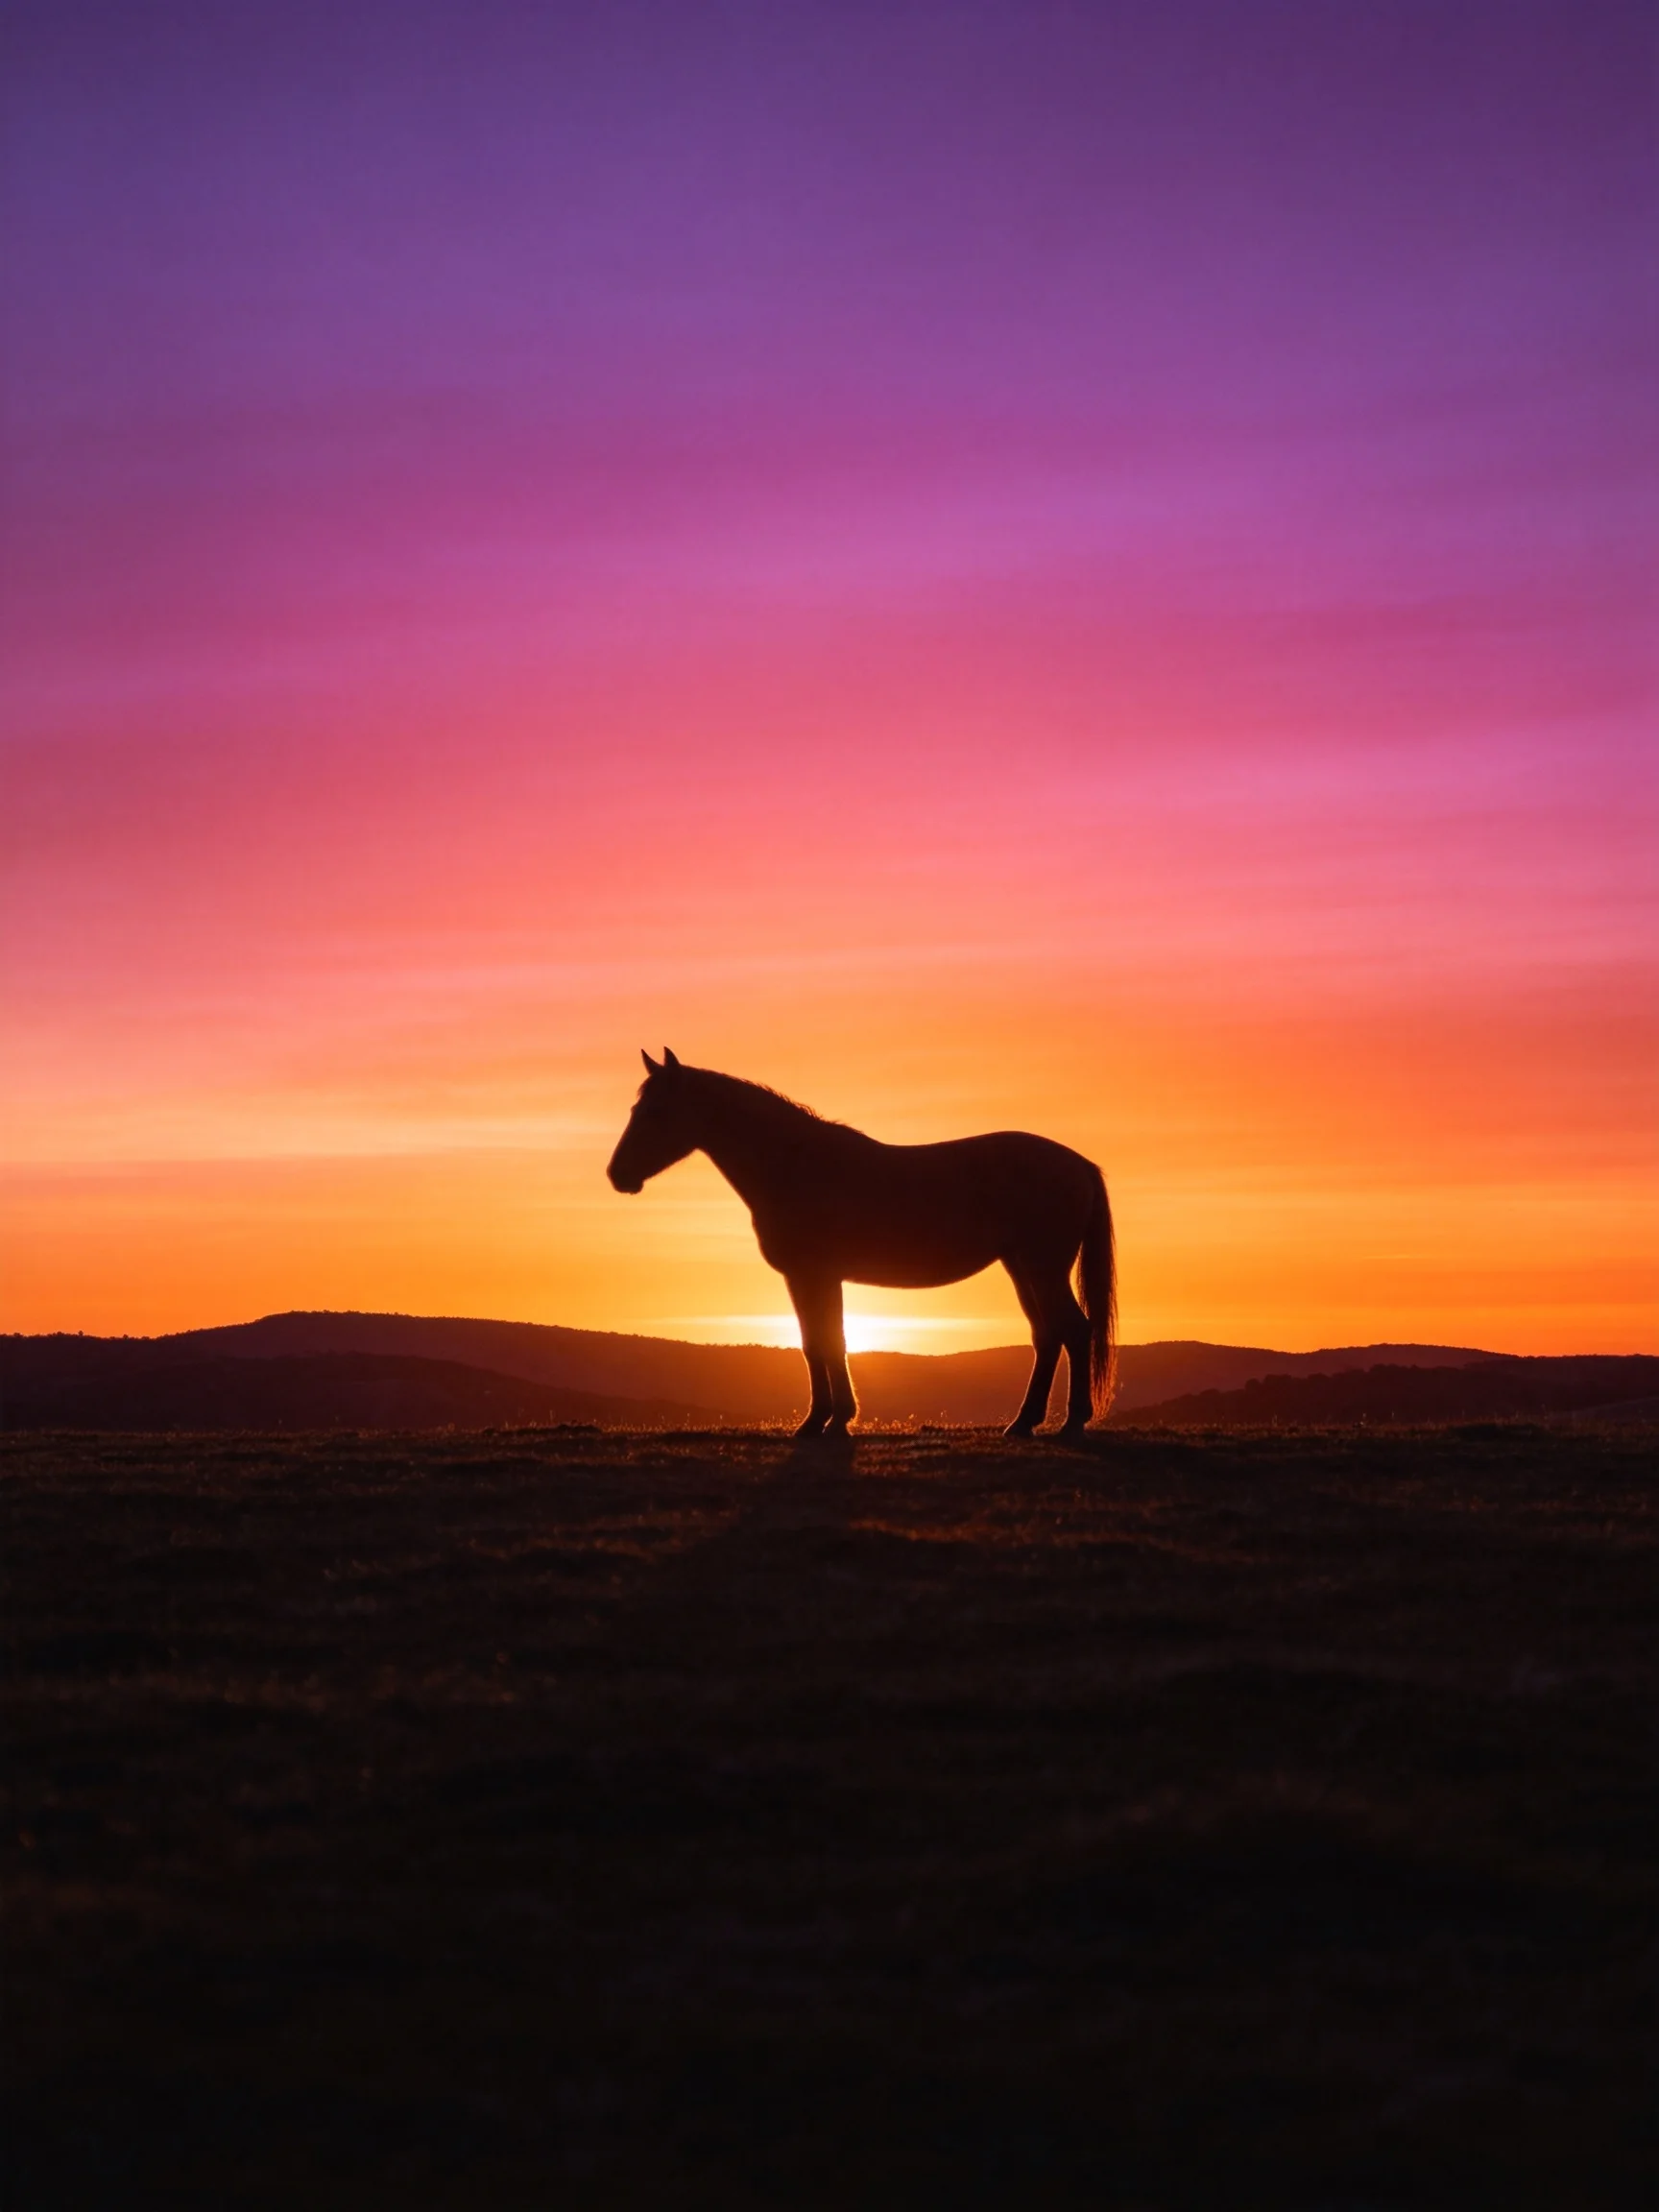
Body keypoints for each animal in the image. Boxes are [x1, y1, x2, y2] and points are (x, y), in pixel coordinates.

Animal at [607, 1050, 1116, 1439]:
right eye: (635, 1110)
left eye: (655, 1112)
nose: (618, 1175)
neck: (795, 1165)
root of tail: (1079, 1164)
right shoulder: (810, 1279)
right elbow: (819, 1342)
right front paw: (829, 1420)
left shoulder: (814, 1276)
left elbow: (826, 1342)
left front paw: (824, 1422)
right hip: (1021, 1267)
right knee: (1047, 1336)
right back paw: (1022, 1423)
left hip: (1042, 1267)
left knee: (1074, 1330)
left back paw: (1072, 1423)